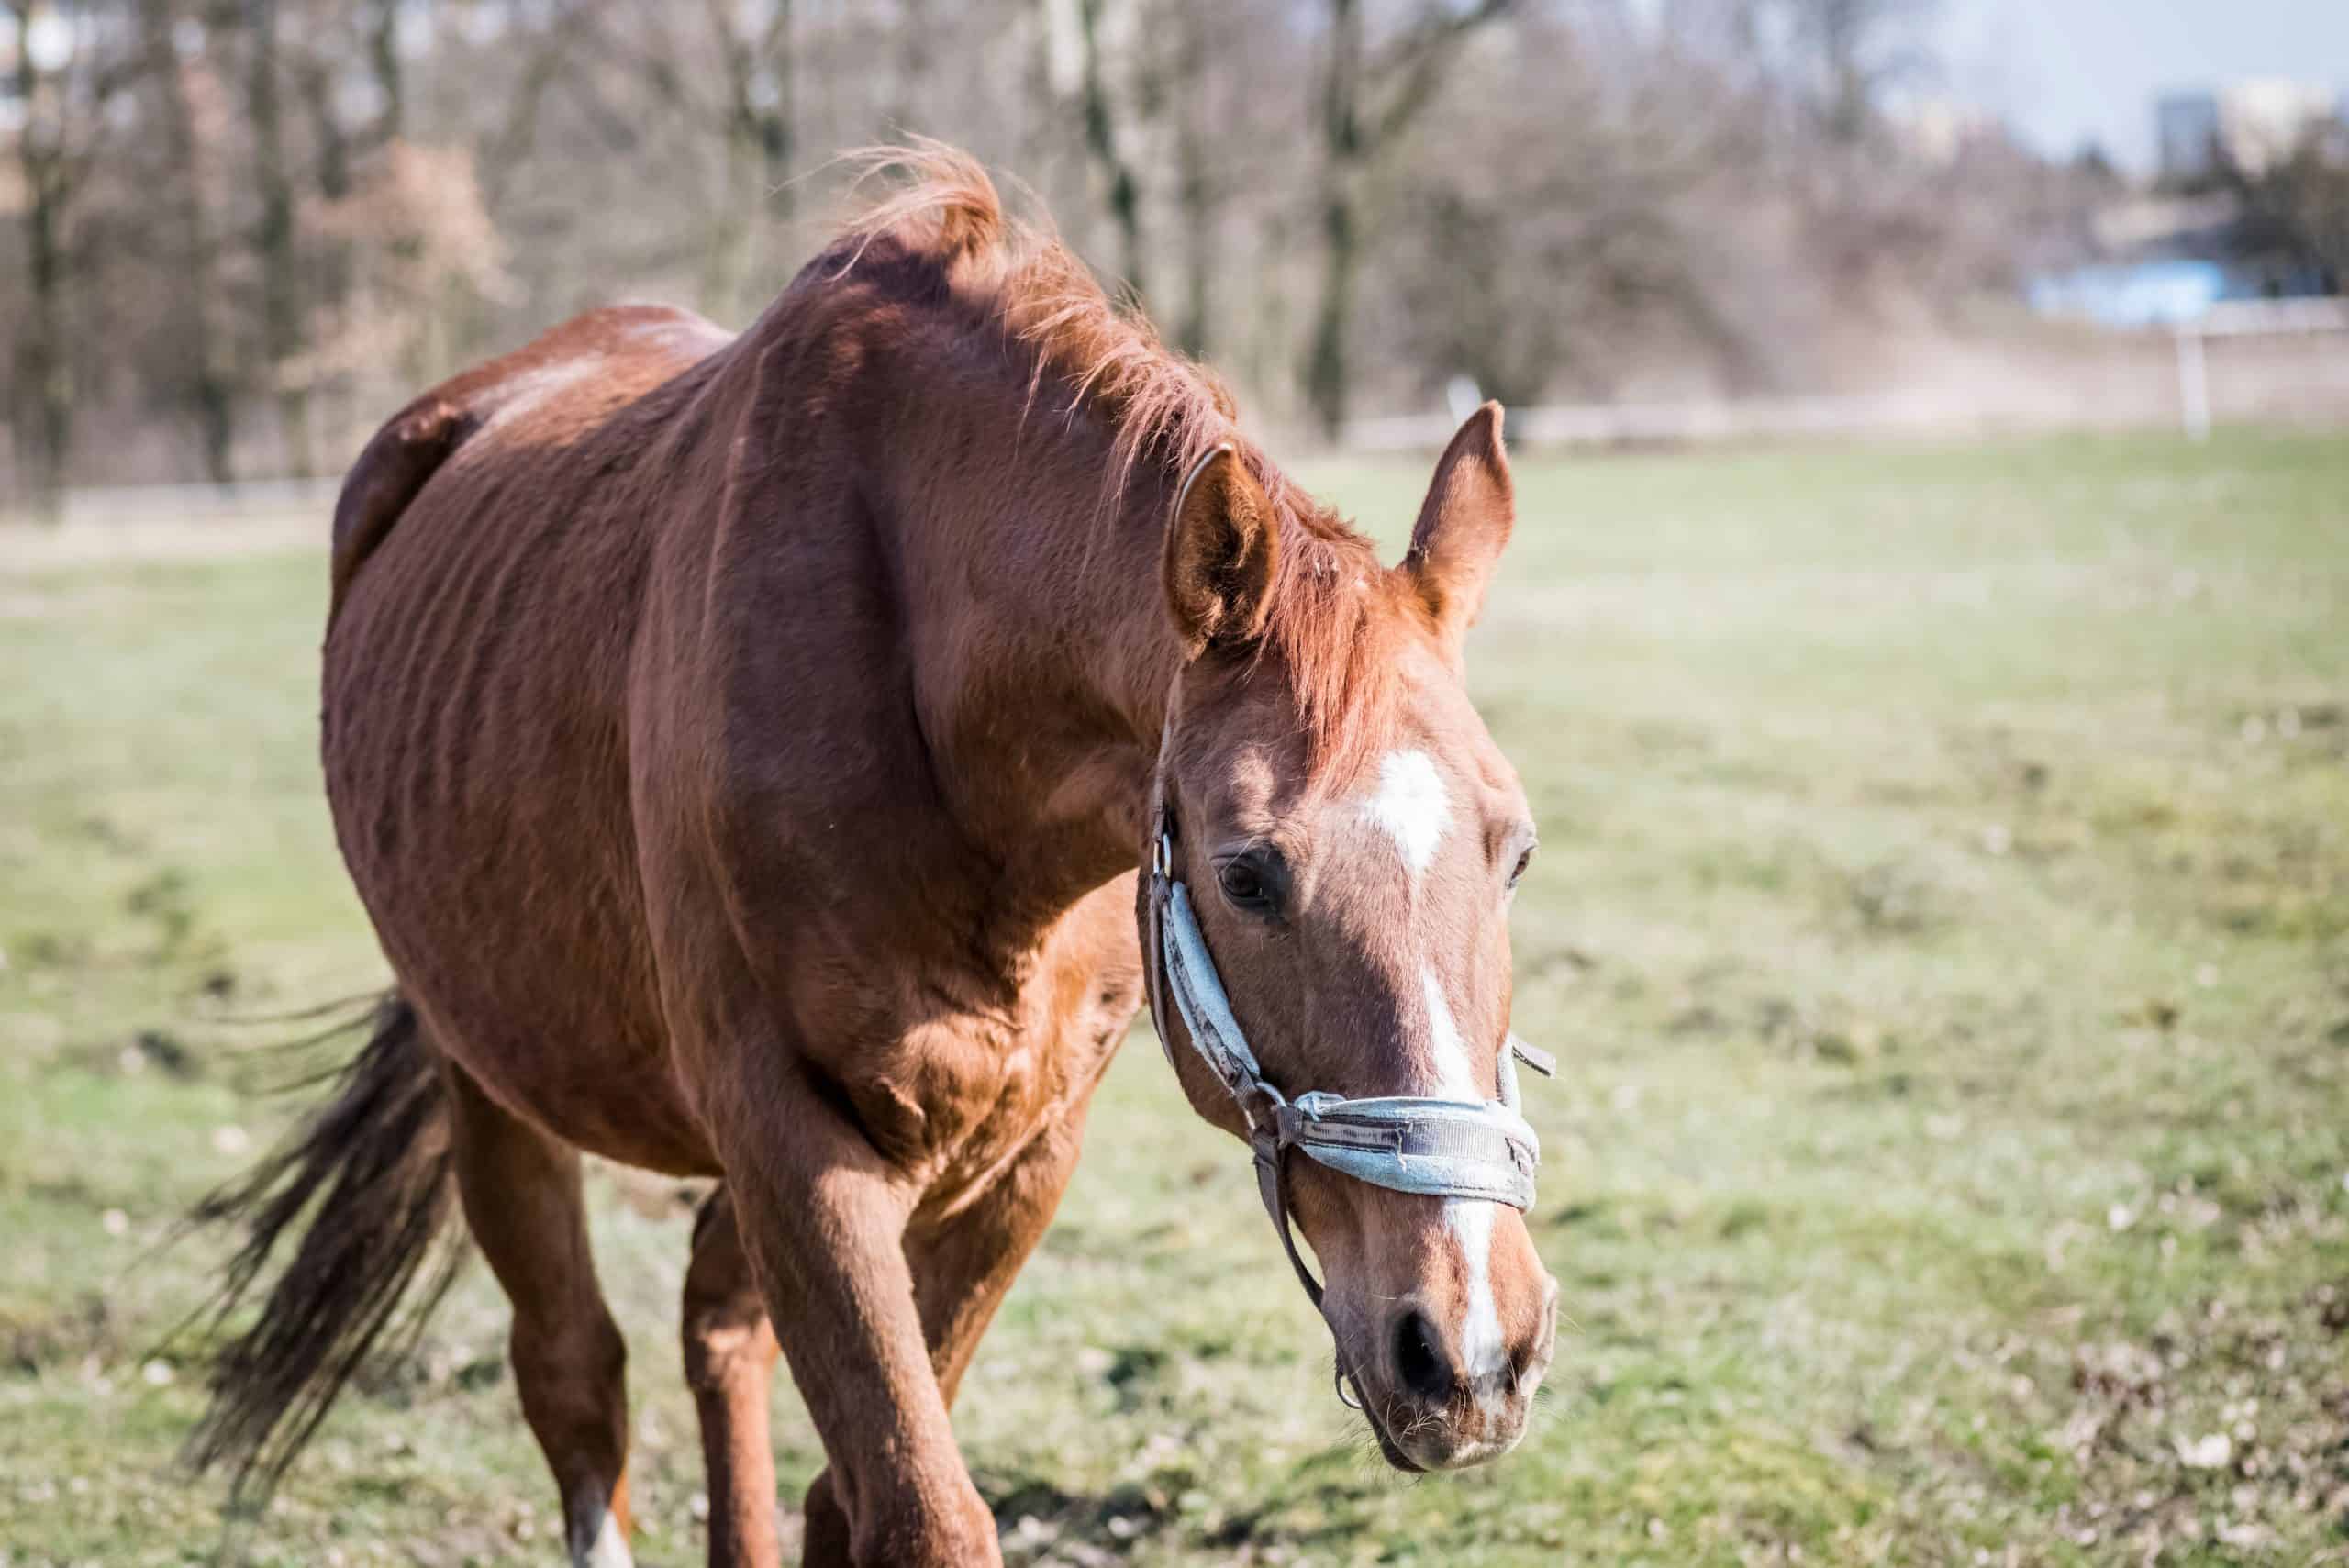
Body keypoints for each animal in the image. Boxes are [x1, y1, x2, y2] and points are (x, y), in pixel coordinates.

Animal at [192, 146, 1559, 1568]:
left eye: (1513, 852)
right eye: (1247, 871)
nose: (1467, 1350)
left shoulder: (1021, 1152)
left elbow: (847, 1494)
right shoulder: (792, 1142)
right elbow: (918, 1511)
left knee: (715, 1327)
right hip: (490, 1080)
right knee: (575, 1375)